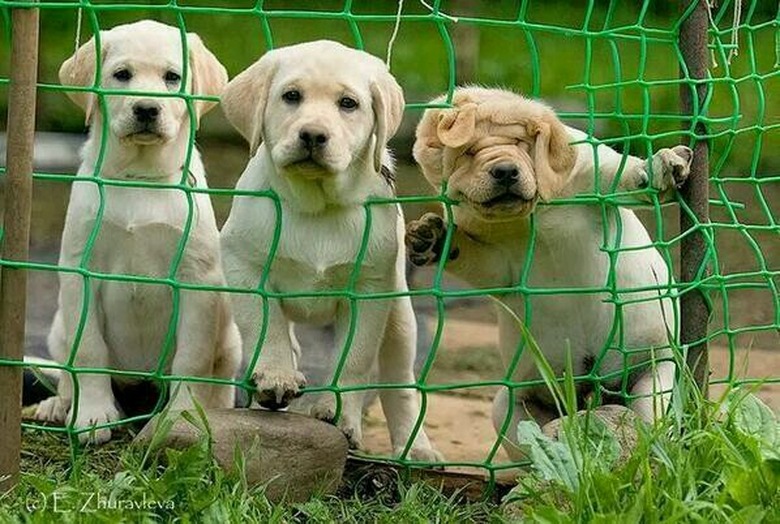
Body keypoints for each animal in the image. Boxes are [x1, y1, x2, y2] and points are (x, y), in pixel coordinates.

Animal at [34, 21, 241, 446]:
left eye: (172, 78)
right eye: (122, 75)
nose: (146, 108)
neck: (139, 177)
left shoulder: (196, 281)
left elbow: (191, 359)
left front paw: (182, 416)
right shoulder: (81, 272)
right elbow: (89, 351)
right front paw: (93, 414)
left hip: (231, 337)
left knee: (222, 381)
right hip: (58, 327)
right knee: (66, 373)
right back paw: (58, 406)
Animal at [219, 39, 442, 460]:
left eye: (348, 104)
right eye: (291, 96)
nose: (312, 135)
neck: (317, 207)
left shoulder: (369, 289)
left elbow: (354, 359)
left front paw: (339, 415)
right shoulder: (245, 267)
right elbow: (266, 327)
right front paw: (275, 375)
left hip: (400, 317)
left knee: (400, 384)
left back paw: (417, 448)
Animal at [406, 88, 692, 460]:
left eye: (523, 144)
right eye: (467, 152)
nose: (505, 170)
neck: (531, 215)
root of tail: (589, 394)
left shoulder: (587, 168)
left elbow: (620, 177)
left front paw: (661, 169)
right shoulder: (497, 260)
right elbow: (479, 259)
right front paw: (432, 238)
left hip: (657, 374)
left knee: (651, 417)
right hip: (510, 405)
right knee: (526, 436)